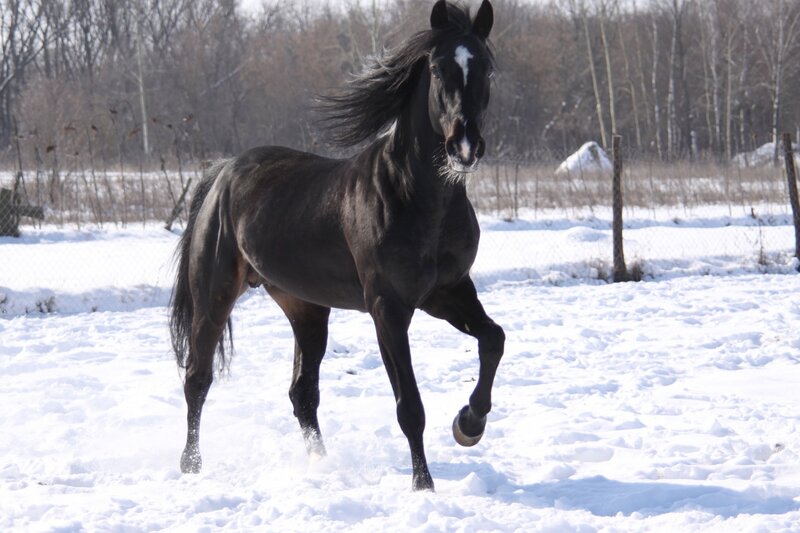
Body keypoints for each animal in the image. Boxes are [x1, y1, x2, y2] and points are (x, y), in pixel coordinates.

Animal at [169, 0, 504, 492]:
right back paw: (191, 465)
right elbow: (410, 406)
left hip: (306, 308)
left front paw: (468, 425)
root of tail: (224, 172)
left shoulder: (449, 292)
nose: (464, 146)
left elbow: (494, 339)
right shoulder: (389, 308)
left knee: (302, 393)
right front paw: (423, 485)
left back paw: (320, 465)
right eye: (438, 68)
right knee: (197, 378)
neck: (416, 198)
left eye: (485, 68)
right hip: (214, 295)